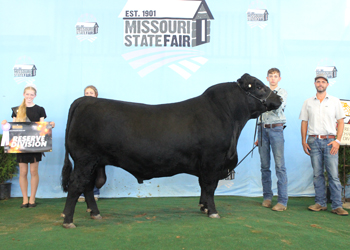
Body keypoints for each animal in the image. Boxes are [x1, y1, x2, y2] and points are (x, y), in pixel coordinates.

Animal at [60, 73, 282, 228]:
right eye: (259, 86)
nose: (278, 99)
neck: (227, 116)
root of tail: (84, 100)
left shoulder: (206, 165)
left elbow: (203, 187)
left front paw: (203, 207)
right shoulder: (213, 161)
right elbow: (210, 187)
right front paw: (213, 211)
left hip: (94, 162)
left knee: (88, 187)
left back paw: (95, 213)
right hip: (85, 159)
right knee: (77, 185)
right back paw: (68, 220)